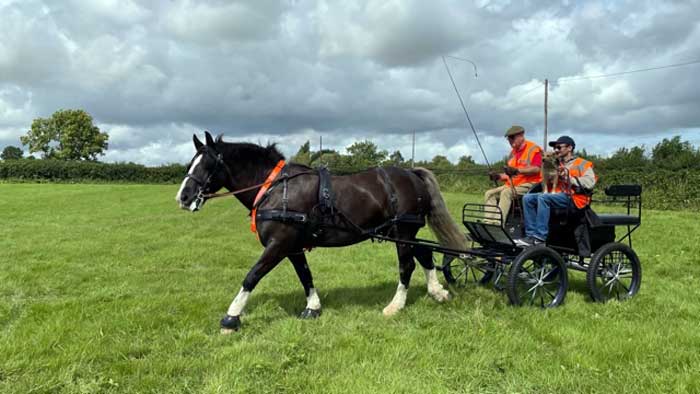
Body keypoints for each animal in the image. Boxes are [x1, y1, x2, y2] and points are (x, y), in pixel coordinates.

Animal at [176, 132, 470, 332]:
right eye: (191, 162)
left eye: (207, 164)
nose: (183, 197)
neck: (275, 188)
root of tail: (411, 173)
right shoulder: (292, 246)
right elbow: (305, 275)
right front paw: (313, 308)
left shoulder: (278, 244)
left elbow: (252, 276)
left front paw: (231, 317)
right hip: (404, 233)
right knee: (424, 254)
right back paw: (437, 292)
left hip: (403, 231)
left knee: (407, 265)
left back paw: (395, 306)